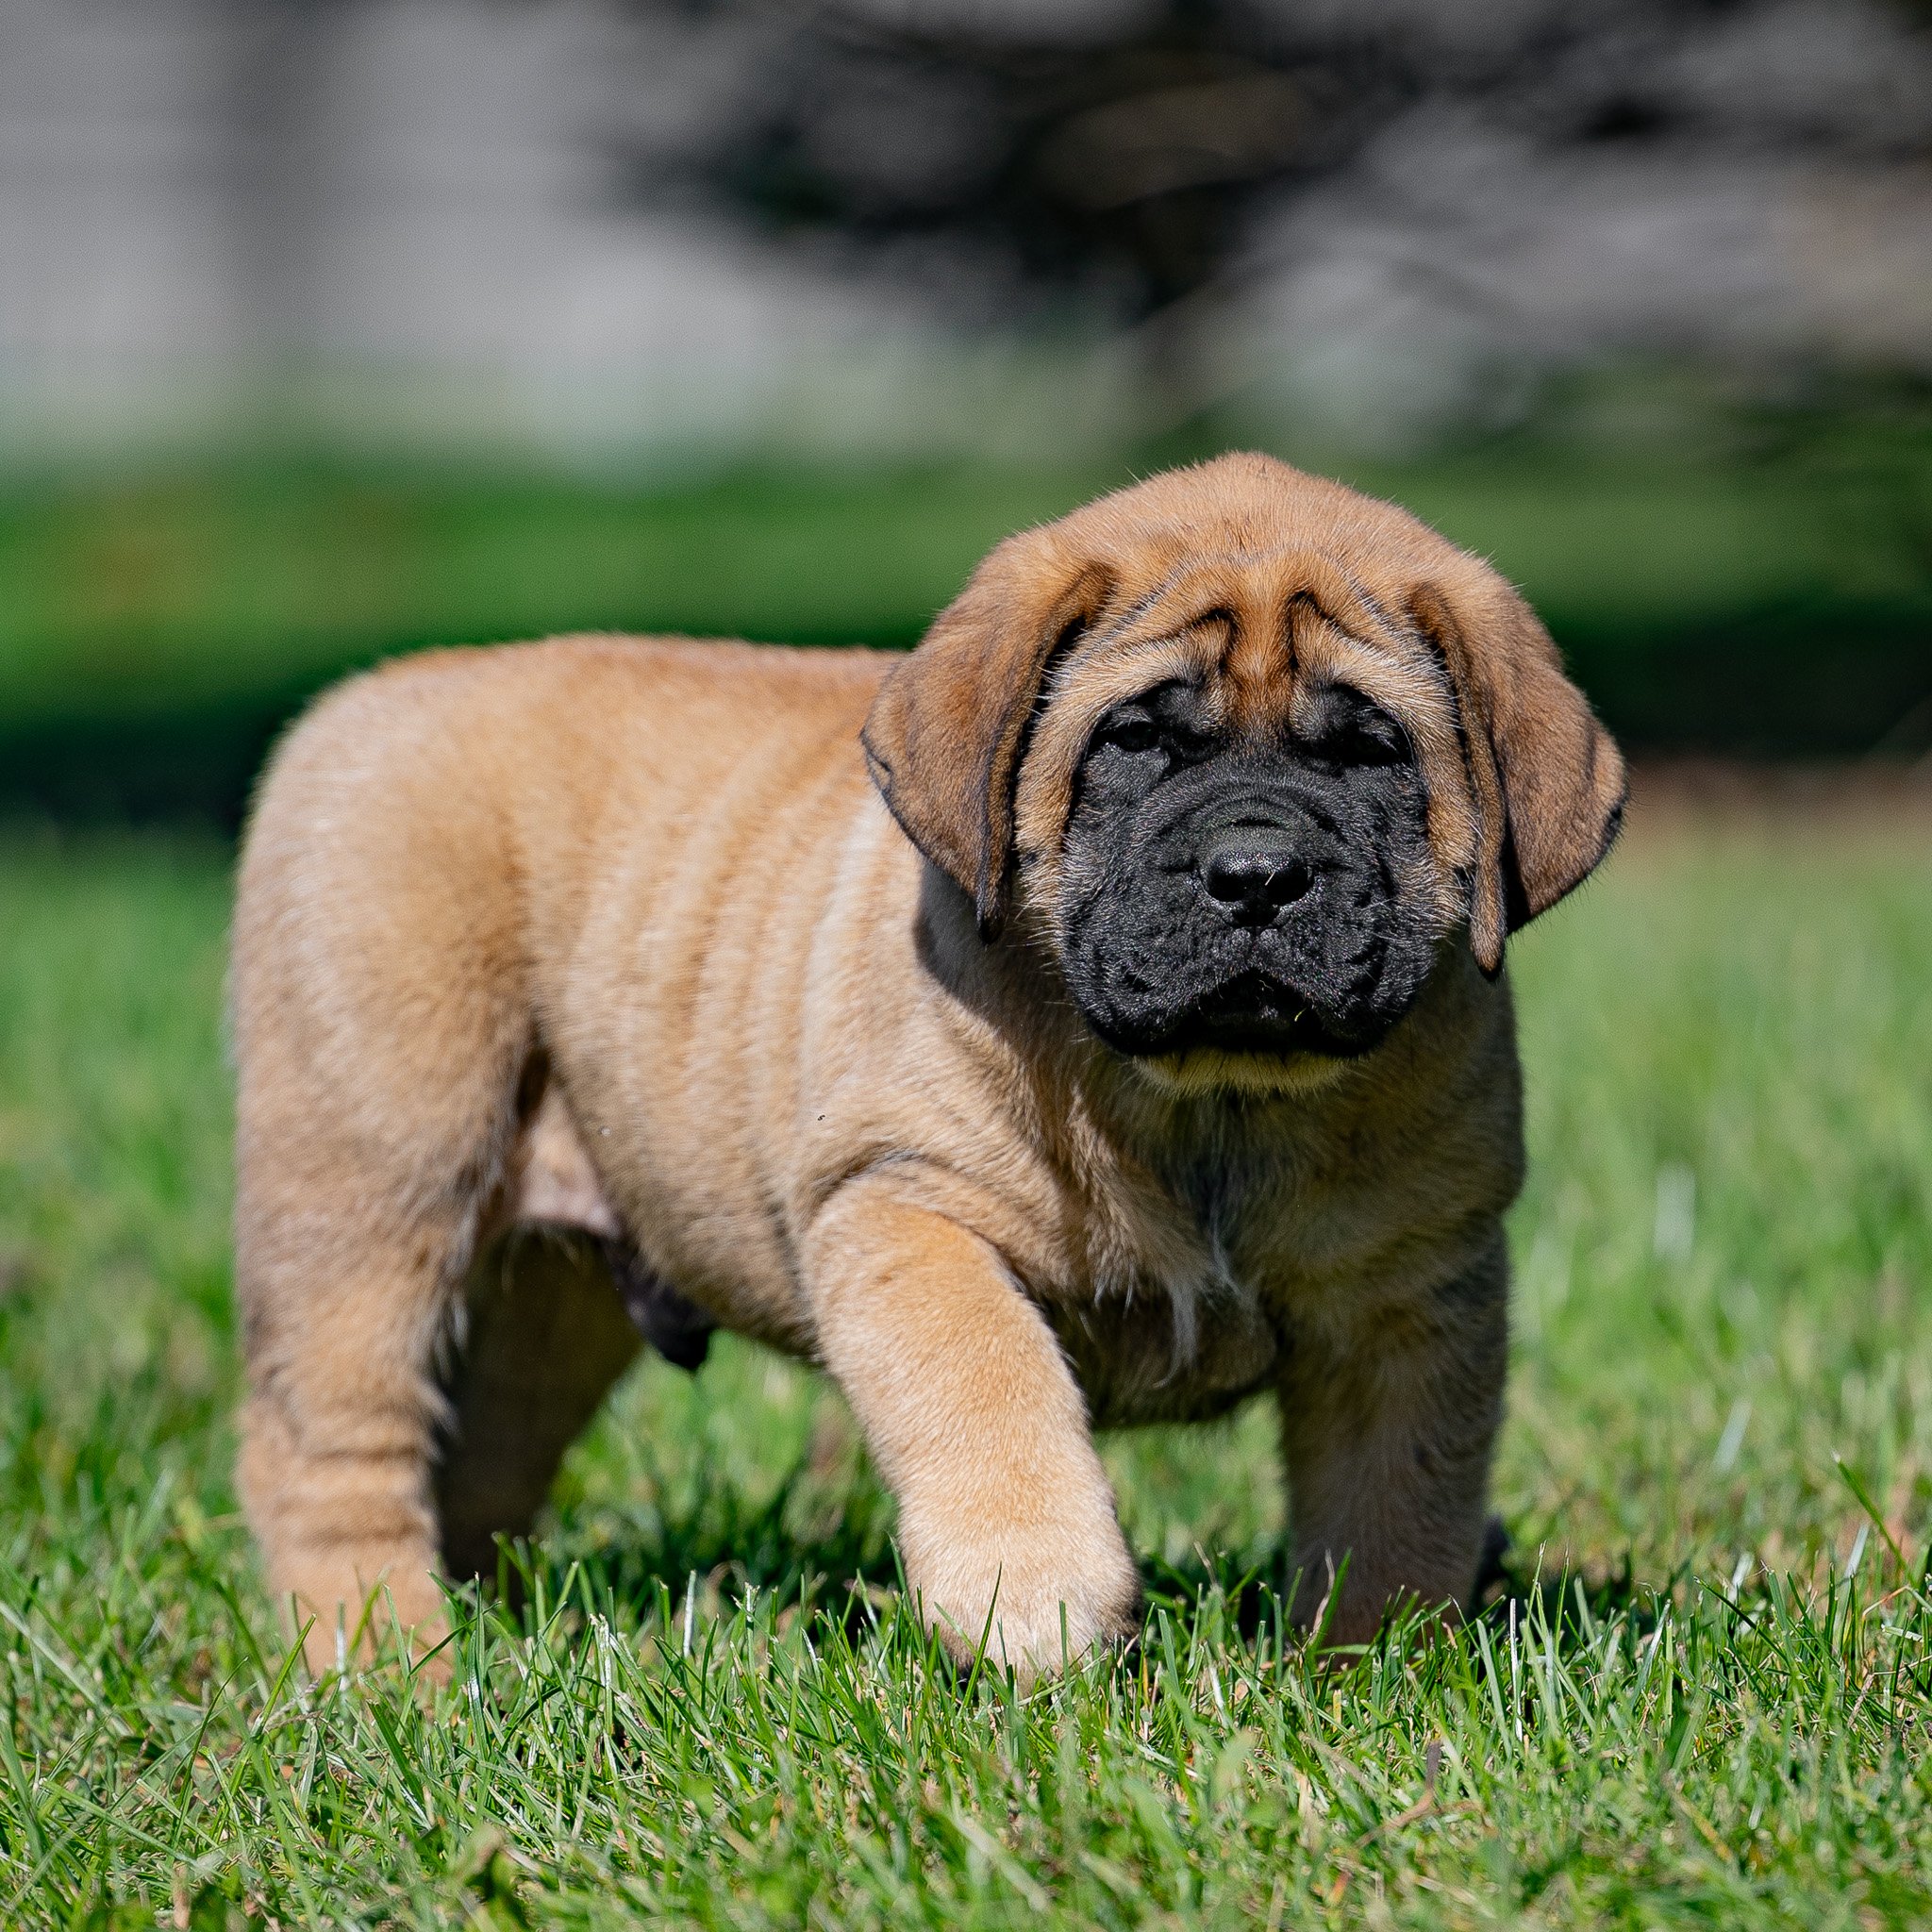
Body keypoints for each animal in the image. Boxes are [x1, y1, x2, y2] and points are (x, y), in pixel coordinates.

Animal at [233, 452, 1623, 1676]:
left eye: (1371, 754)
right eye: (1134, 744)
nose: (1257, 874)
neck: (1210, 1104)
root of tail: (361, 700)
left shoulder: (1414, 1290)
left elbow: (1398, 1504)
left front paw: (1372, 1673)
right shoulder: (905, 1204)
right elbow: (989, 1386)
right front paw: (1035, 1599)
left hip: (550, 1290)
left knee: (473, 1451)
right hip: (375, 1177)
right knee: (331, 1445)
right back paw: (382, 1664)